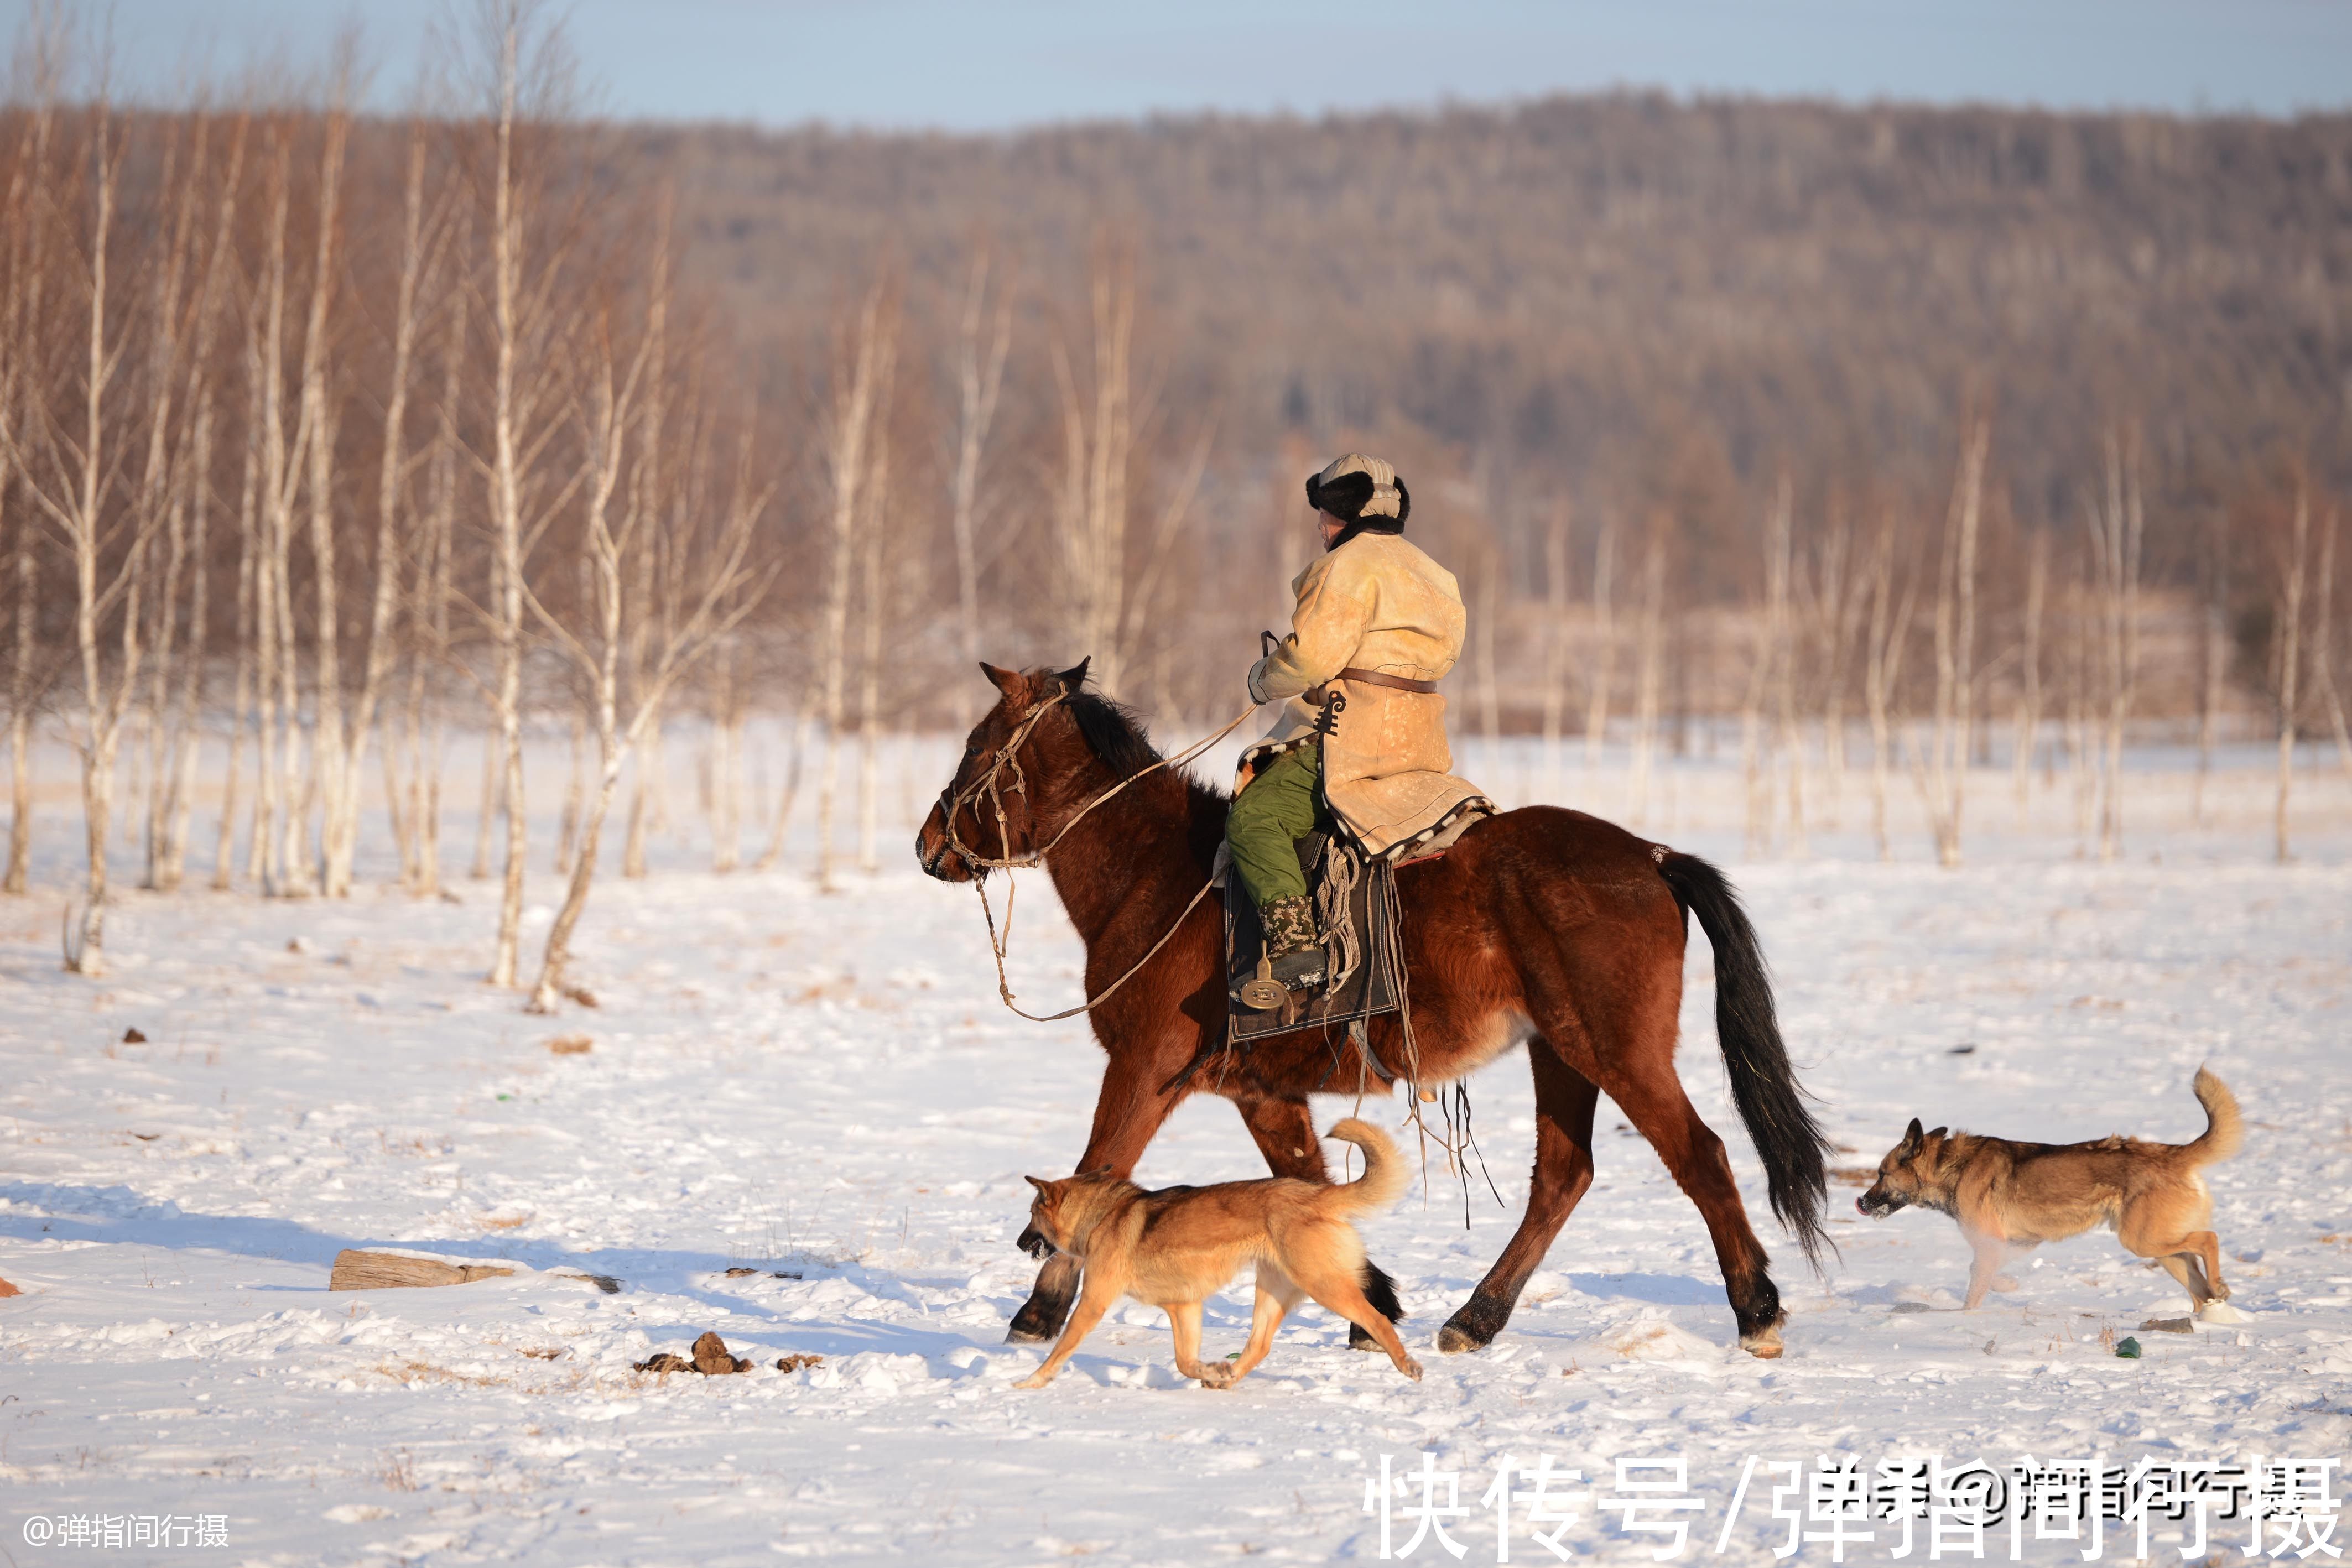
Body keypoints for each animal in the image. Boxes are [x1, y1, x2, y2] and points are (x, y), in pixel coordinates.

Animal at [908, 663, 1825, 1363]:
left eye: (978, 747)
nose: (927, 845)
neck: (1158, 875)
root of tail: (1653, 856)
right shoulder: (1261, 1092)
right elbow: (1309, 1184)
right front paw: (1370, 1299)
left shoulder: (1143, 1066)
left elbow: (1098, 1168)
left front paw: (1037, 1311)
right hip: (1561, 1051)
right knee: (1563, 1175)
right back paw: (1475, 1317)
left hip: (1615, 1048)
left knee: (1700, 1154)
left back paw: (1756, 1308)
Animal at [1006, 1123, 1411, 1392]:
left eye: (1031, 1213)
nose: (1019, 1242)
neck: (1102, 1214)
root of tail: (1315, 1194)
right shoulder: (1184, 1306)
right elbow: (1185, 1362)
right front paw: (1214, 1371)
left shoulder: (1093, 1302)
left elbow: (1060, 1351)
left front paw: (1029, 1383)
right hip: (1273, 1291)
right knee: (1259, 1345)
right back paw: (1227, 1380)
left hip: (1323, 1285)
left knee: (1377, 1318)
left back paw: (1407, 1364)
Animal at [1853, 1067, 2239, 1316]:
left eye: (1881, 1174)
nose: (1861, 1202)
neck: (1951, 1167)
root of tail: (2173, 1153)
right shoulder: (2016, 1244)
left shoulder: (1990, 1245)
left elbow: (1975, 1289)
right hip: (2160, 1249)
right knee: (2199, 1287)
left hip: (2142, 1240)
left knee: (2210, 1240)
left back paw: (2220, 1287)